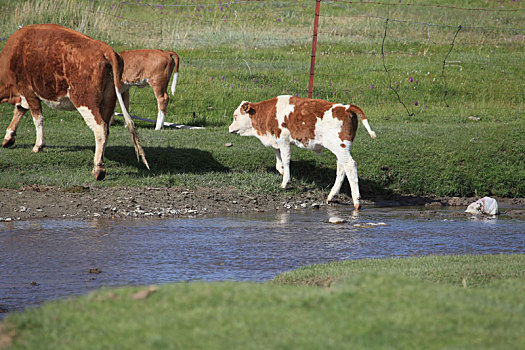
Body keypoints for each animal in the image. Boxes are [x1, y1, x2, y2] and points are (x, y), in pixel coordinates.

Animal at [0, 23, 147, 180]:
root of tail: (105, 49)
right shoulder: (24, 95)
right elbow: (19, 111)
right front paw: (8, 137)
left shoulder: (28, 91)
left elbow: (37, 119)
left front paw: (38, 145)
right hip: (108, 103)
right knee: (106, 129)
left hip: (86, 101)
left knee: (100, 128)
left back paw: (98, 169)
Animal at [227, 95, 374, 211]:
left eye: (235, 116)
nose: (229, 128)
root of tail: (346, 107)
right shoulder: (276, 140)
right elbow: (278, 160)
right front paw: (282, 172)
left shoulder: (283, 138)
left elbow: (286, 159)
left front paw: (285, 182)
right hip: (340, 149)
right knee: (342, 169)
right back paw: (331, 196)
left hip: (340, 147)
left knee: (350, 166)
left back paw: (356, 201)